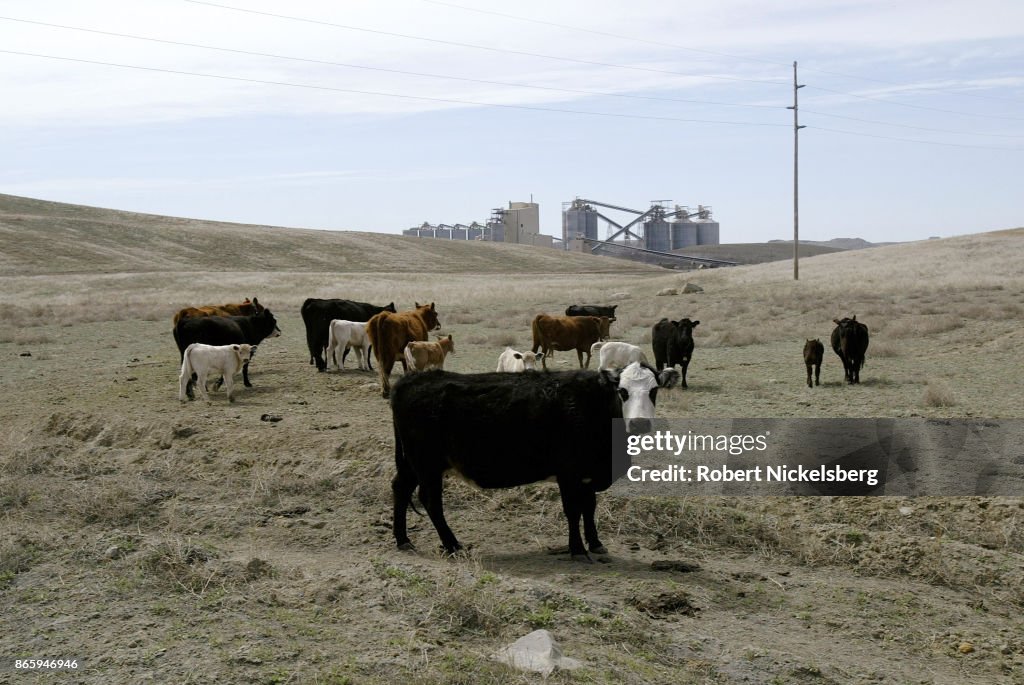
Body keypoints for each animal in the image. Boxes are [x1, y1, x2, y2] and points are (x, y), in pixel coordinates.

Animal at [391, 362, 679, 561]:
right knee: (431, 501)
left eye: (654, 390)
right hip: (427, 465)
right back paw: (452, 545)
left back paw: (403, 540)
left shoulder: (586, 475)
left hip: (412, 465)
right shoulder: (569, 474)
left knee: (400, 488)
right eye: (622, 391)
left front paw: (596, 543)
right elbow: (573, 511)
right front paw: (577, 549)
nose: (640, 423)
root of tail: (411, 379)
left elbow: (589, 508)